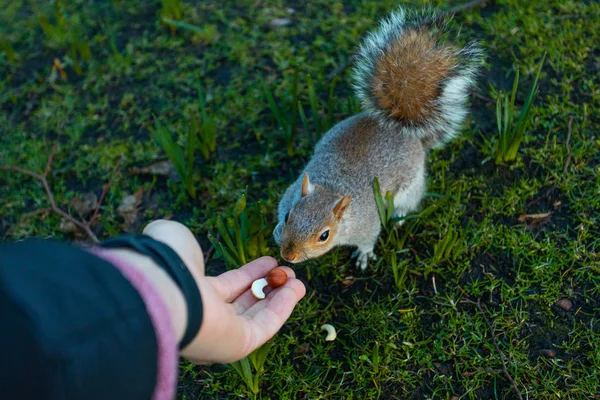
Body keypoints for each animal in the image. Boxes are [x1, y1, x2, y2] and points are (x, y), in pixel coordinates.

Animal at [272, 6, 482, 270]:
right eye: (288, 215)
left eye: (324, 235)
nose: (288, 256)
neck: (331, 187)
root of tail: (403, 132)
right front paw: (276, 231)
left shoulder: (367, 223)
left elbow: (368, 239)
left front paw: (363, 255)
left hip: (411, 185)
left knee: (410, 201)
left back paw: (400, 215)